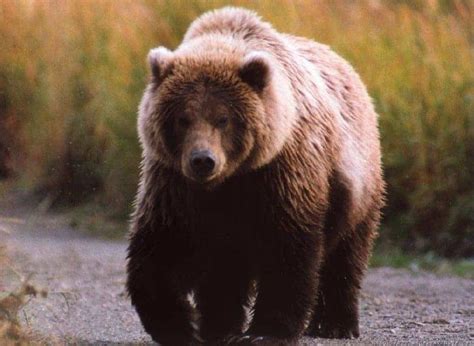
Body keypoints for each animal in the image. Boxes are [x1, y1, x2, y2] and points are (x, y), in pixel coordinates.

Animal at [127, 6, 386, 344]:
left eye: (223, 119)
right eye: (183, 118)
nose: (203, 160)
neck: (229, 179)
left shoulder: (281, 171)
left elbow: (287, 246)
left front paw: (266, 331)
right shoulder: (173, 182)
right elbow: (162, 245)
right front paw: (181, 327)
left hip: (356, 181)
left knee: (347, 252)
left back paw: (335, 323)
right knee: (224, 270)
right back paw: (220, 326)